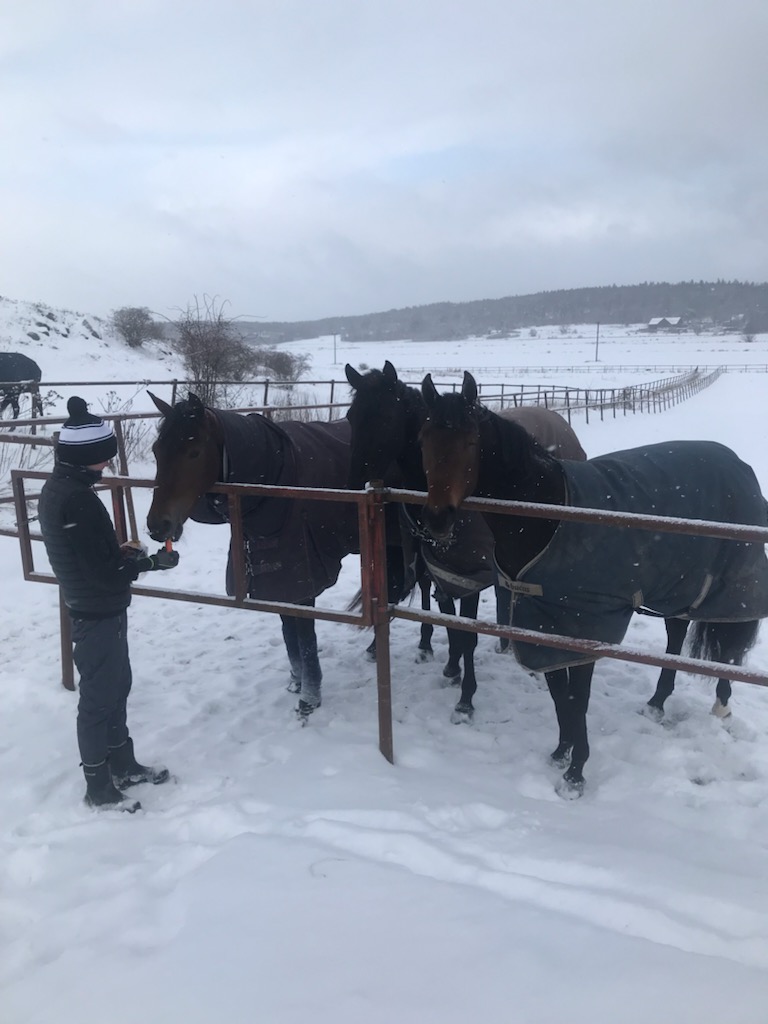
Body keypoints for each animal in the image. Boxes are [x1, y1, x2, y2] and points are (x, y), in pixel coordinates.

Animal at [145, 391, 409, 720]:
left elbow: (305, 636)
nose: (158, 526)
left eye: (193, 452)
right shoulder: (276, 578)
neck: (274, 476)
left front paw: (309, 698)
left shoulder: (301, 579)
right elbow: (288, 631)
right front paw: (296, 681)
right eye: (157, 450)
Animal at [346, 358, 585, 720]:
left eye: (385, 417)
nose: (352, 483)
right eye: (350, 417)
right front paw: (451, 665)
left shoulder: (471, 577)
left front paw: (466, 697)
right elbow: (449, 621)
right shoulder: (442, 569)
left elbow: (468, 634)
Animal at [417, 372, 768, 794]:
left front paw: (576, 773)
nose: (437, 519)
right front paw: (561, 752)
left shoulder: (584, 628)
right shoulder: (544, 623)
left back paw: (721, 704)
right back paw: (657, 703)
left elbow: (577, 698)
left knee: (729, 648)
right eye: (424, 438)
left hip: (729, 589)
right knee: (677, 634)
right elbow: (559, 694)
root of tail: (739, 465)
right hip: (680, 585)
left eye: (471, 441)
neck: (547, 515)